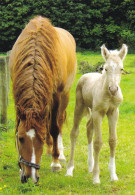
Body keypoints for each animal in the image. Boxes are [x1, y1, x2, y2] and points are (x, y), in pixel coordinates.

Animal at [8, 15, 76, 183]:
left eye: (40, 139)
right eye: (20, 139)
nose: (30, 177)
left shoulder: (56, 95)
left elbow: (54, 128)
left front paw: (55, 163)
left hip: (64, 96)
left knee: (58, 122)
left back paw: (59, 155)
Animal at [65, 43, 127, 184]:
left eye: (121, 69)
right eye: (105, 69)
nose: (114, 89)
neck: (108, 95)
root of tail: (85, 75)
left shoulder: (113, 112)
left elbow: (113, 140)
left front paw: (113, 175)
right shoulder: (98, 113)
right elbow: (98, 142)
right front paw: (96, 178)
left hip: (93, 112)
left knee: (89, 128)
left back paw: (90, 166)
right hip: (80, 107)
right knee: (74, 133)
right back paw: (70, 170)